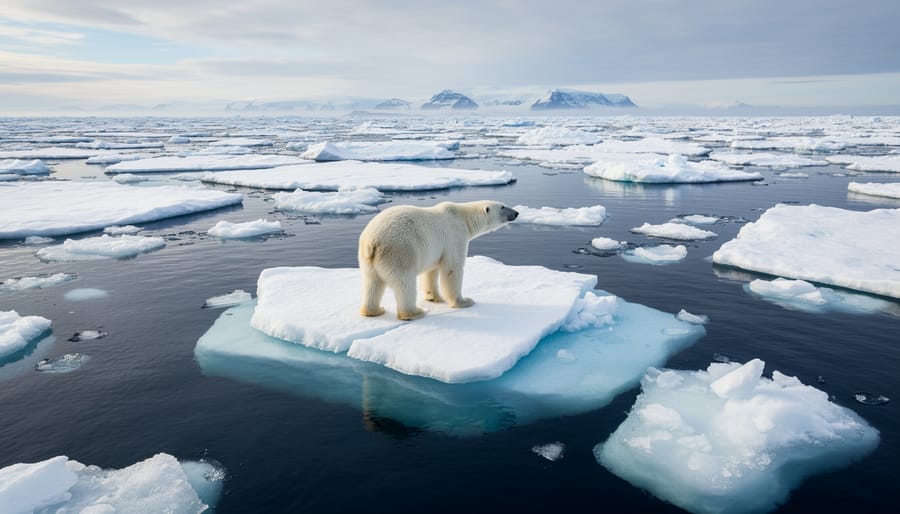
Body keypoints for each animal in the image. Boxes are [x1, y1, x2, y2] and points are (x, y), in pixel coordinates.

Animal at [358, 200, 518, 320]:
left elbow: (432, 271)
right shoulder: (455, 236)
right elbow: (452, 268)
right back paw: (414, 312)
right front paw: (464, 301)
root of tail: (372, 242)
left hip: (368, 261)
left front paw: (435, 297)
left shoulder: (435, 251)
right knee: (404, 283)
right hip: (400, 252)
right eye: (502, 206)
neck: (463, 217)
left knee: (372, 283)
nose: (516, 213)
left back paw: (374, 310)